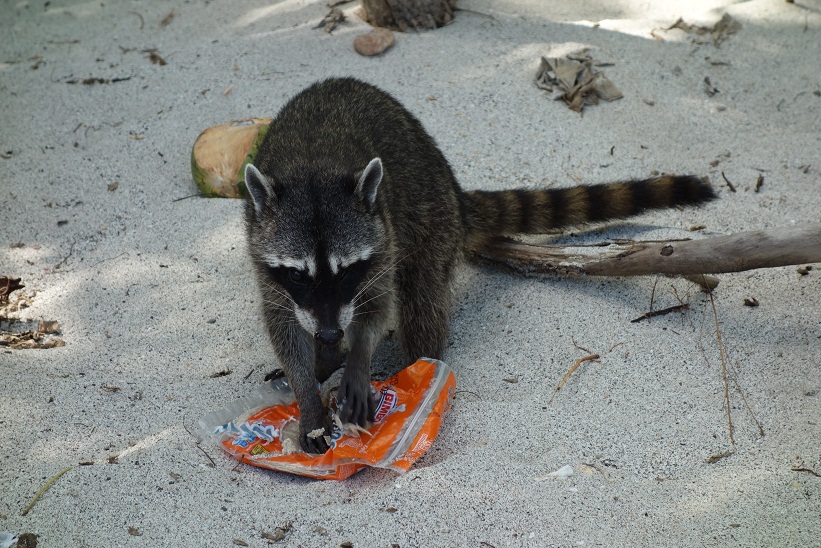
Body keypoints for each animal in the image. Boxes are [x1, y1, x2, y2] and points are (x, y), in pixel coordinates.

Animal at [242, 78, 712, 454]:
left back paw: (420, 371)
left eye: (345, 271)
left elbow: (375, 306)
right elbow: (284, 325)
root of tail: (453, 188)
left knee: (421, 297)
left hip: (429, 219)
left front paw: (355, 359)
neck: (313, 167)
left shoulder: (381, 240)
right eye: (298, 273)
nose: (328, 334)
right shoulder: (263, 255)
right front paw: (309, 391)